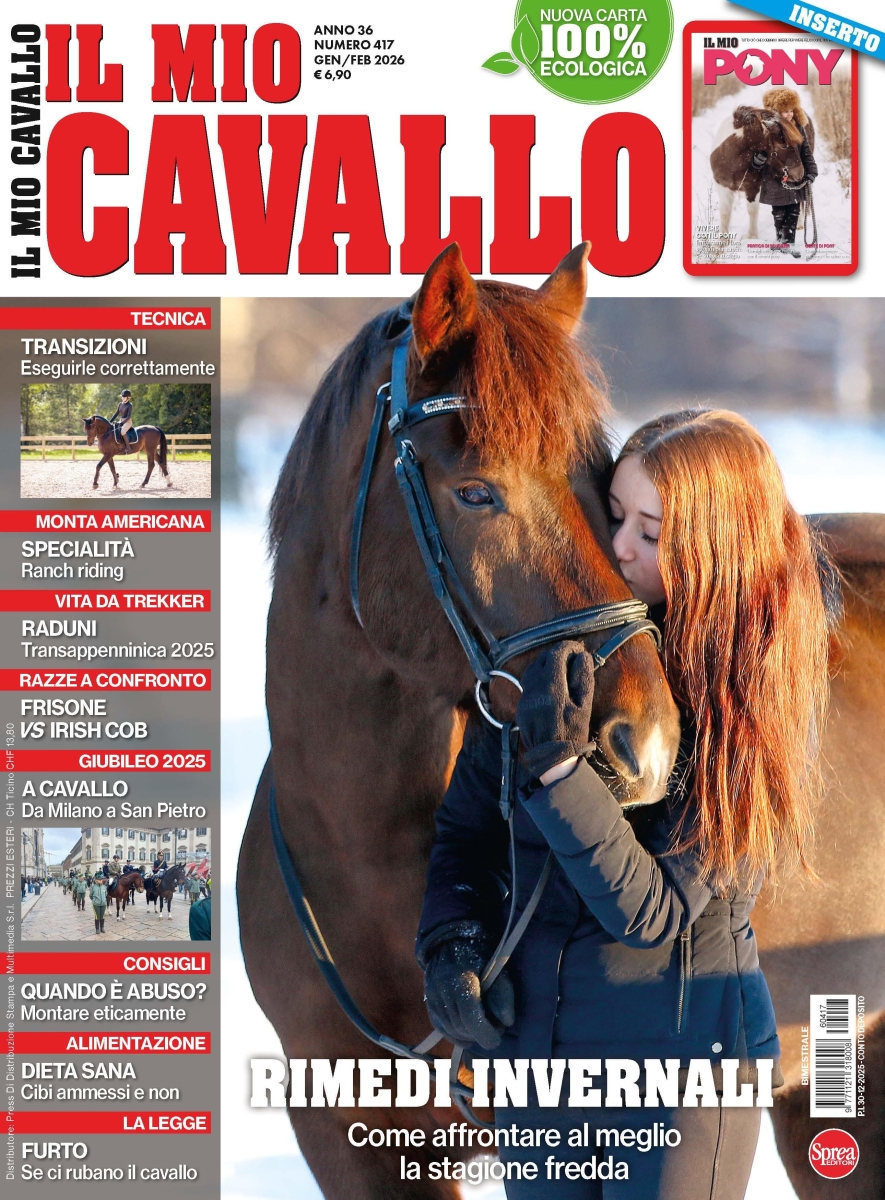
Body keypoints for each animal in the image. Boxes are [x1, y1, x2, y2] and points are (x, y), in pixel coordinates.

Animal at [710, 106, 815, 240]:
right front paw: (723, 241)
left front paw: (752, 237)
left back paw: (799, 224)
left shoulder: (753, 188)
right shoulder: (723, 188)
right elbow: (724, 213)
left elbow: (752, 210)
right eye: (783, 145)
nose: (800, 173)